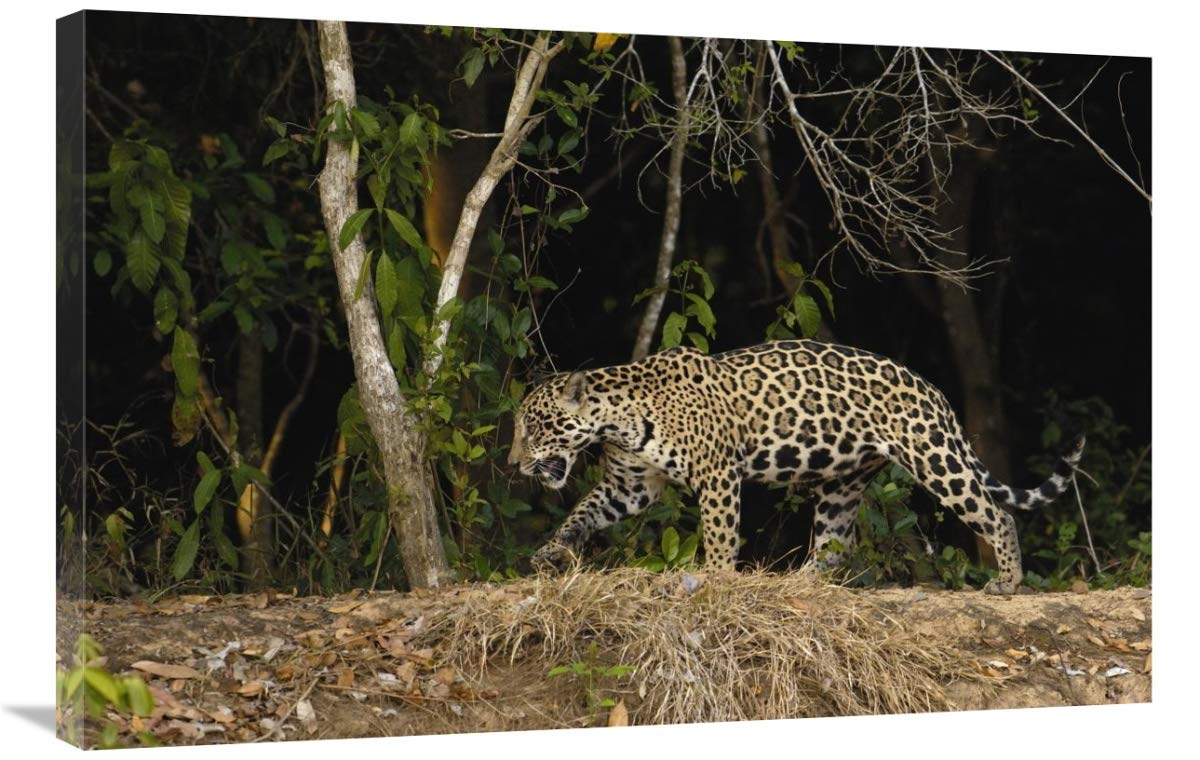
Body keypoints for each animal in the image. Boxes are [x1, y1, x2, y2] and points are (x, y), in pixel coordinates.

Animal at [508, 340, 1085, 595]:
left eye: (533, 427)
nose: (513, 464)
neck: (617, 418)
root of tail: (932, 389)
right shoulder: (629, 485)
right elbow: (583, 513)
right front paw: (550, 552)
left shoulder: (717, 473)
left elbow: (720, 534)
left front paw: (717, 578)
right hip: (843, 481)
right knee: (835, 546)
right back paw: (796, 582)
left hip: (931, 454)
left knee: (994, 512)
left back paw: (1008, 581)